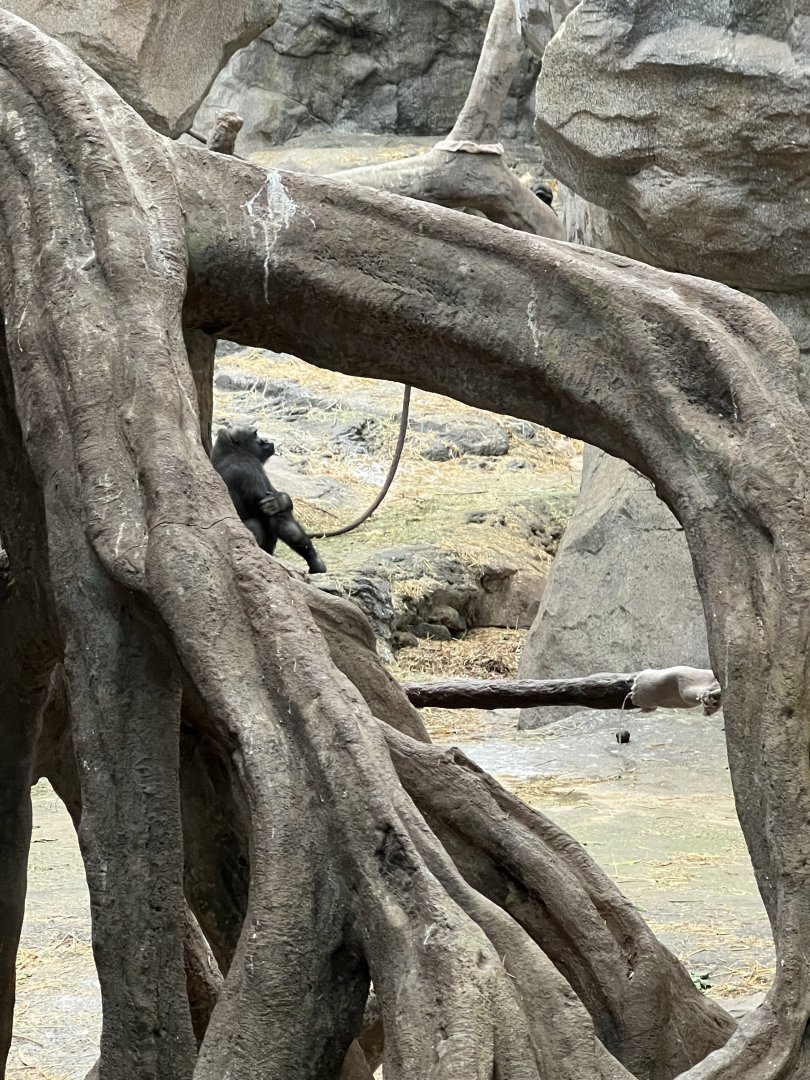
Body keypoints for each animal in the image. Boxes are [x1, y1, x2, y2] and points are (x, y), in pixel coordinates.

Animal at [211, 425, 327, 574]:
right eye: (255, 434)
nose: (265, 440)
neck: (231, 449)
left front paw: (281, 500)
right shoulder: (248, 466)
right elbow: (276, 516)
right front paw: (314, 559)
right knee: (256, 524)